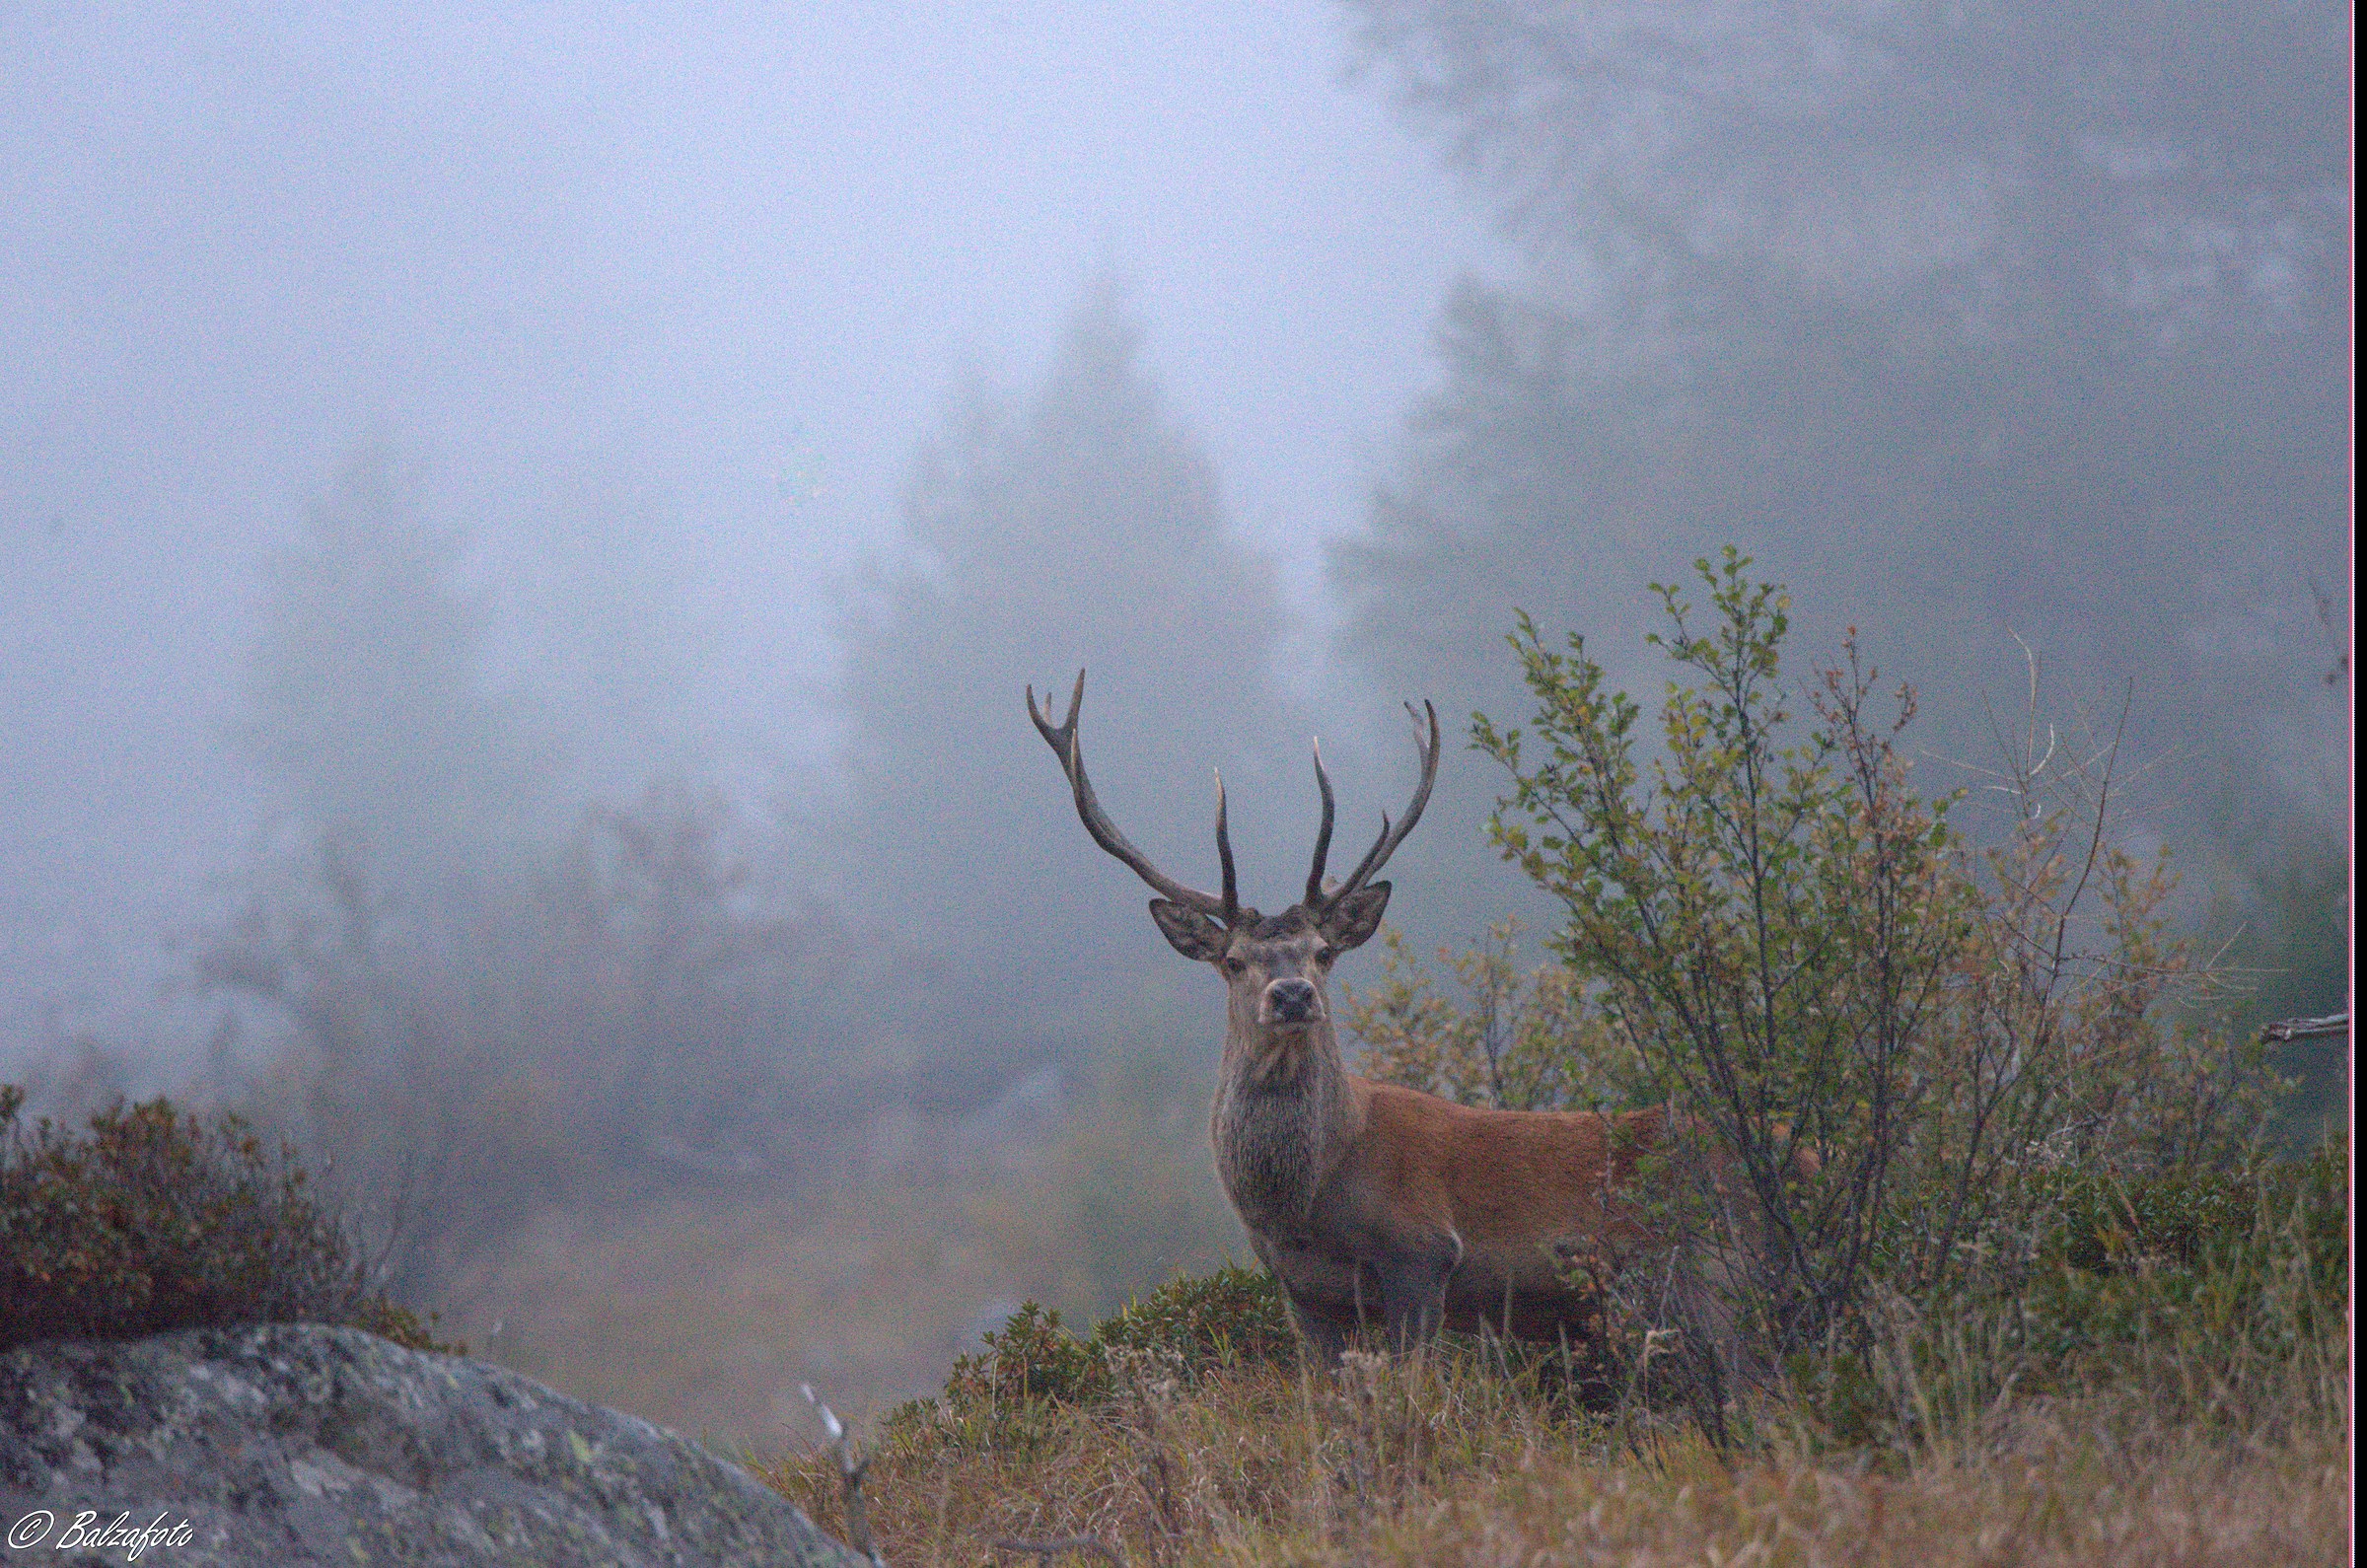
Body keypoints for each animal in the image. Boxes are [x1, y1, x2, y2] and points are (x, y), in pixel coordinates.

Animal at [1026, 670, 1711, 1363]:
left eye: (1324, 951)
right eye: (1234, 961)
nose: (1294, 994)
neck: (1310, 1205)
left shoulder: (1424, 1254)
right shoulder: (1301, 1293)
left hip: (1696, 1266)